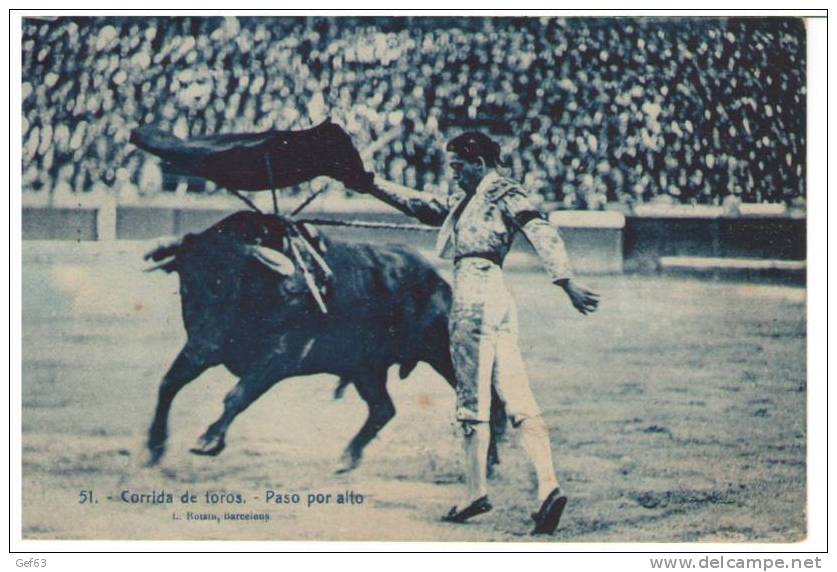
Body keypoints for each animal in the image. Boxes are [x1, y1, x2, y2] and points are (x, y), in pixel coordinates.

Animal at [144, 212, 502, 472]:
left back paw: (489, 462)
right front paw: (154, 447)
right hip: (366, 369)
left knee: (487, 400)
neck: (267, 287)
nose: (203, 345)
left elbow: (237, 395)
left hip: (444, 353)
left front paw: (208, 440)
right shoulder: (202, 349)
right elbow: (168, 383)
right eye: (186, 284)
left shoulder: (279, 358)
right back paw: (347, 458)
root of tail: (439, 282)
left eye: (231, 283)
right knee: (383, 409)